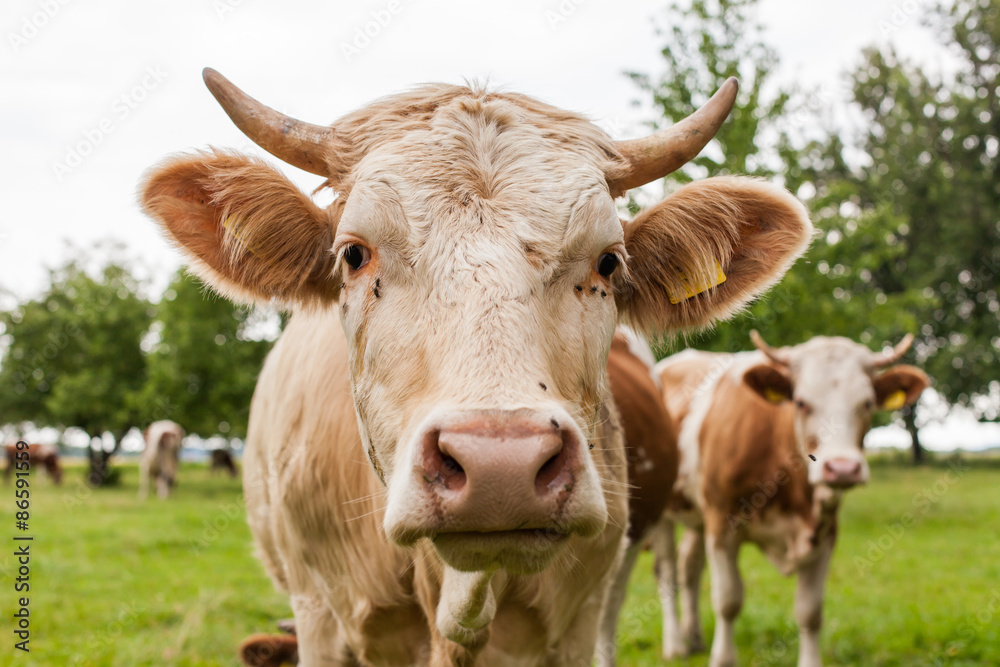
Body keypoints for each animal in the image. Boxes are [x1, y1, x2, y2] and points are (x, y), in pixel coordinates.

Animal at [640, 334, 928, 667]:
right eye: (801, 402)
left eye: (867, 402)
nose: (842, 468)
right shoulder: (721, 524)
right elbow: (728, 600)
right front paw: (722, 658)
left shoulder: (825, 532)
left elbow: (810, 611)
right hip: (664, 511)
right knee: (667, 570)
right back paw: (675, 644)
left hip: (696, 516)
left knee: (690, 567)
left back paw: (694, 636)